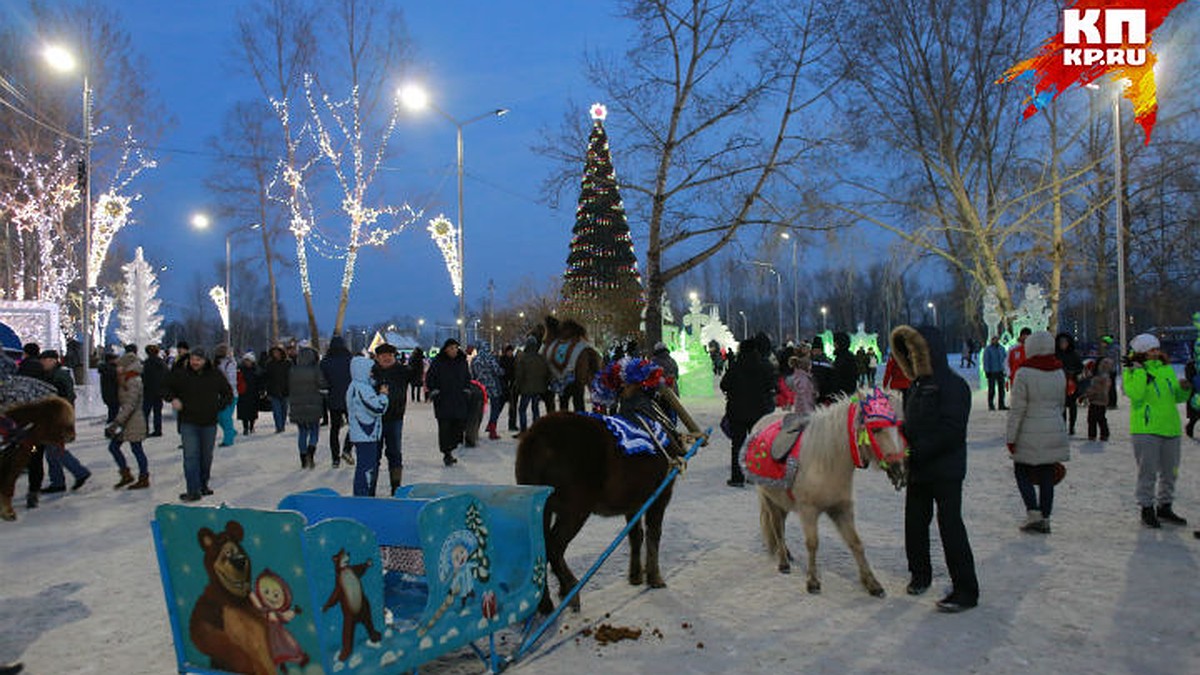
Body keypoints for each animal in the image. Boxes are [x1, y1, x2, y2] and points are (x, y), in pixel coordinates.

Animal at [516, 384, 700, 610]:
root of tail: (537, 440)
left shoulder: (633, 502)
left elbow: (635, 535)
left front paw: (635, 576)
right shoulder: (661, 495)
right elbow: (653, 535)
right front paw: (655, 578)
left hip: (542, 508)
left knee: (541, 549)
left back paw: (546, 602)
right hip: (574, 510)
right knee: (554, 546)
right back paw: (570, 589)